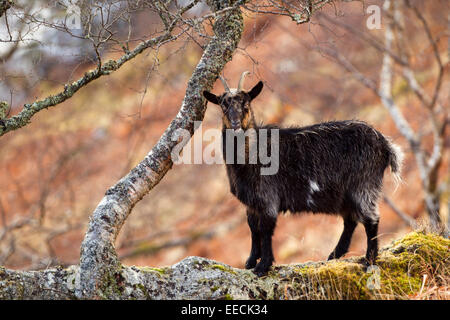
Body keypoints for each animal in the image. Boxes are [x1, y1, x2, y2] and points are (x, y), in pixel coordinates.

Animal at [202, 71, 402, 276]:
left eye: (246, 104)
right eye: (223, 104)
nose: (235, 124)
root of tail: (385, 144)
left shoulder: (268, 198)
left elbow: (265, 230)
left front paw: (263, 266)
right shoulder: (252, 203)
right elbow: (253, 228)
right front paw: (250, 262)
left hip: (364, 185)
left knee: (371, 219)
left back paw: (369, 260)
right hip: (345, 194)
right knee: (351, 220)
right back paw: (334, 255)